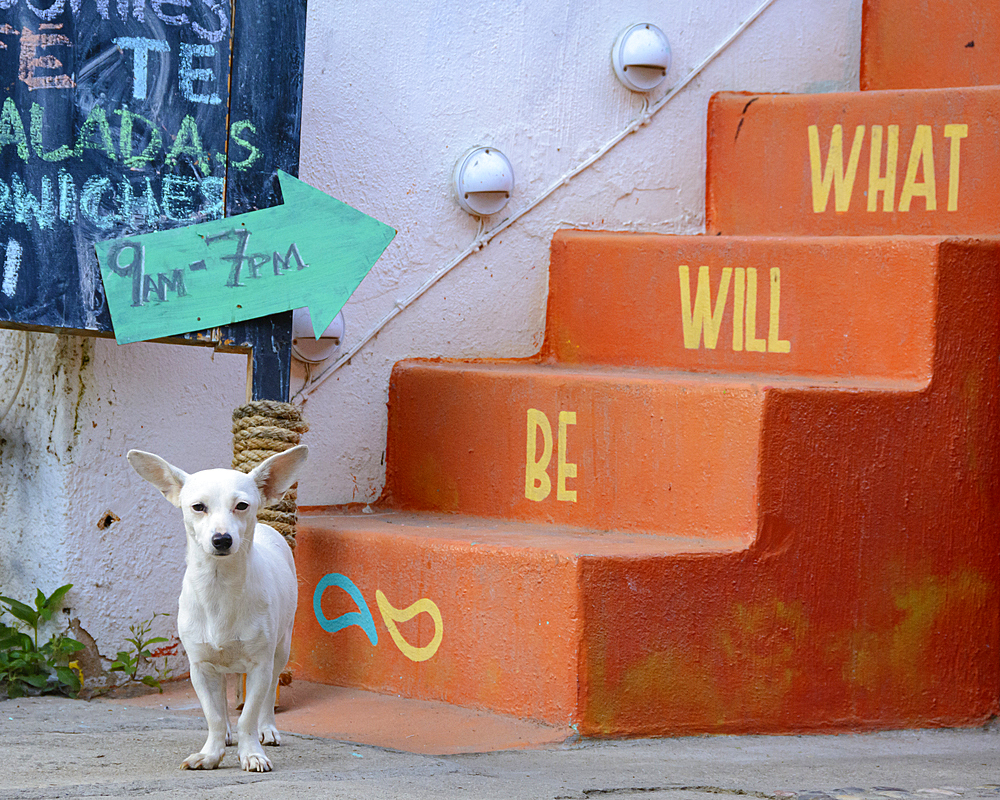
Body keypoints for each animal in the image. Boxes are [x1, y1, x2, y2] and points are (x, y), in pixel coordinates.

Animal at [129, 446, 308, 772]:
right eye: (198, 507)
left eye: (242, 506)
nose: (222, 539)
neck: (219, 587)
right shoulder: (200, 668)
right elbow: (212, 713)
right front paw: (211, 753)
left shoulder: (260, 666)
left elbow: (249, 714)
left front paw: (252, 753)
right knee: (222, 698)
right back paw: (225, 732)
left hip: (281, 648)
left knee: (268, 695)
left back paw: (267, 728)